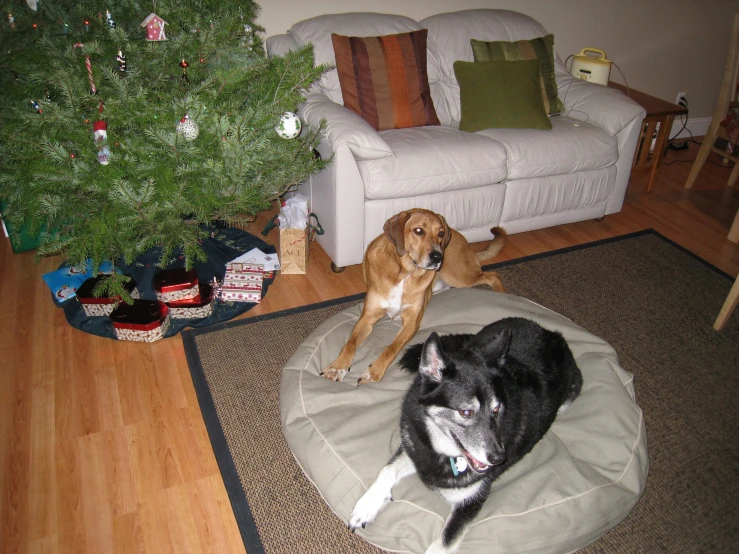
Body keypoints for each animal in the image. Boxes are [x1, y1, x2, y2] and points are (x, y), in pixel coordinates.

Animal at [320, 208, 506, 384]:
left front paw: (374, 372)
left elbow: (391, 348)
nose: (437, 257)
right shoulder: (368, 317)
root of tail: (464, 241)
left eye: (440, 233)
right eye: (418, 230)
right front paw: (337, 367)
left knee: (493, 275)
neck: (405, 273)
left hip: (459, 275)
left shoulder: (411, 322)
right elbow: (350, 344)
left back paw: (504, 295)